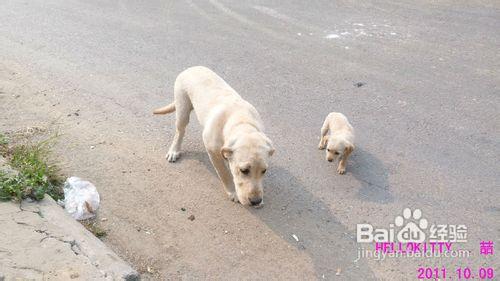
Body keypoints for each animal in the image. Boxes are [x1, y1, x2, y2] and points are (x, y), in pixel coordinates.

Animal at [154, 65, 276, 206]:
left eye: (264, 171)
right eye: (244, 171)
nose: (256, 201)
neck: (242, 121)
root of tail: (192, 68)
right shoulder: (213, 151)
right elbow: (224, 173)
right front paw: (233, 192)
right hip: (182, 108)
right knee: (180, 131)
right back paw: (174, 150)